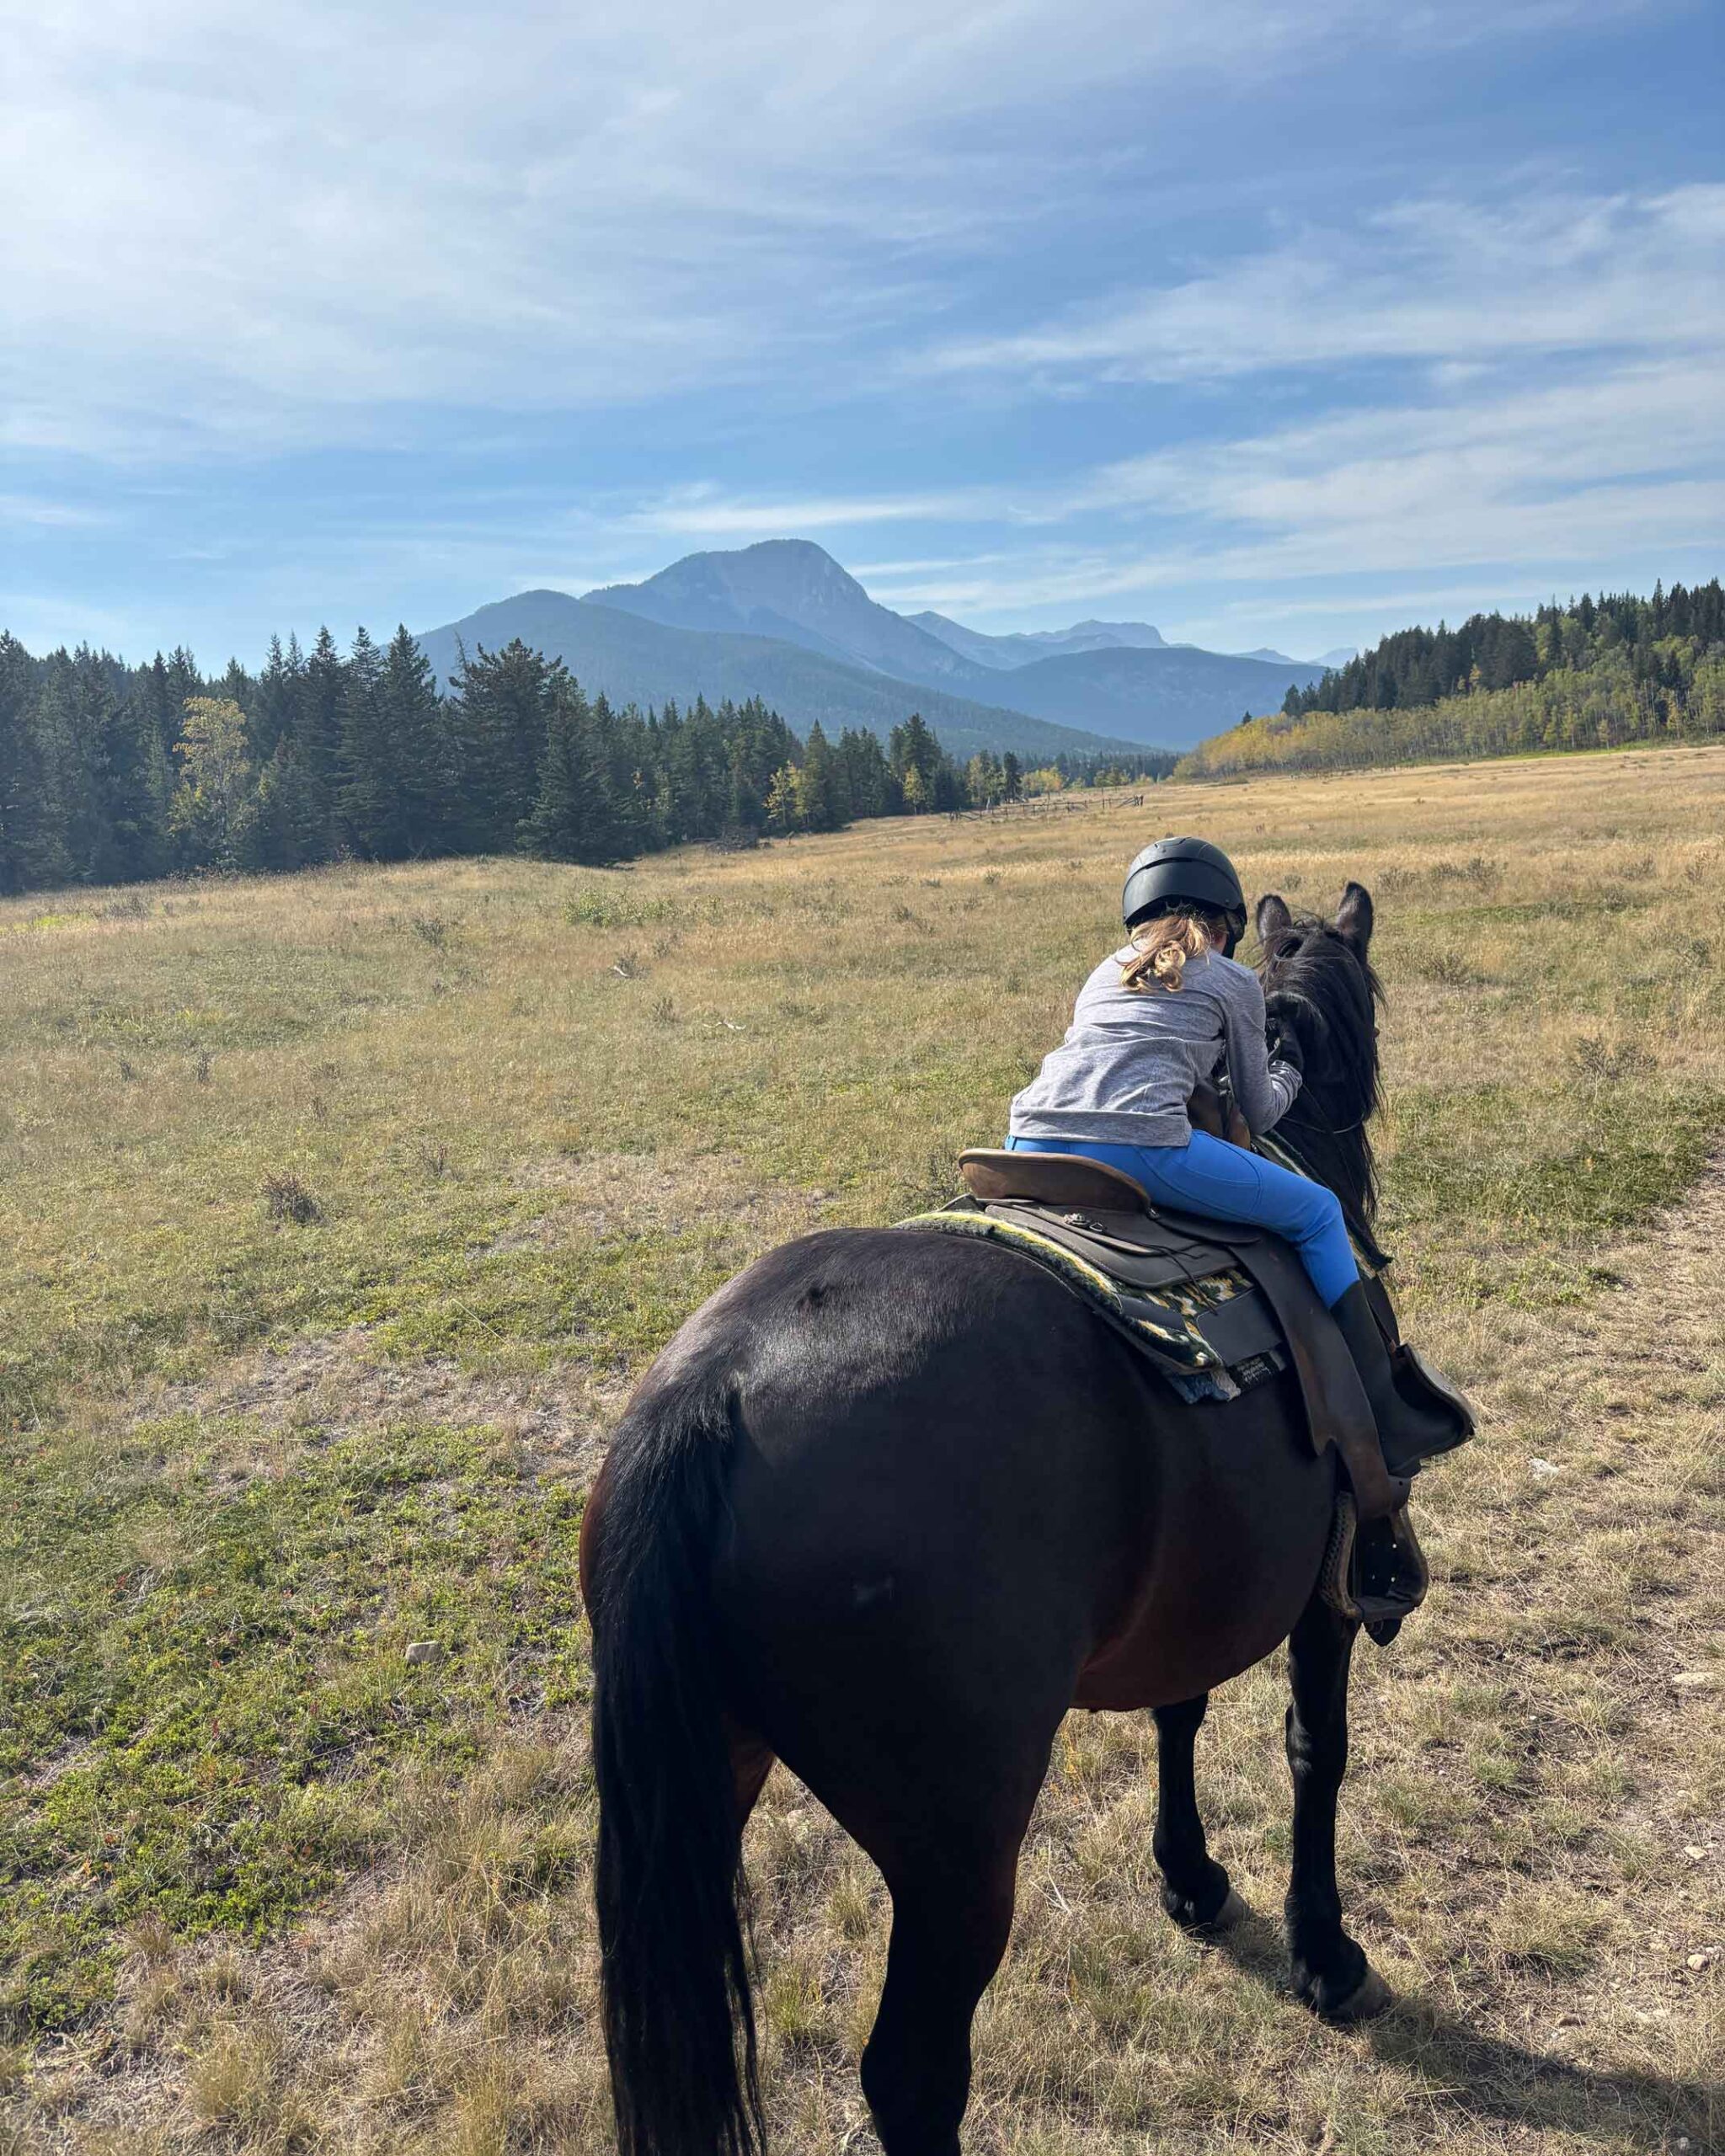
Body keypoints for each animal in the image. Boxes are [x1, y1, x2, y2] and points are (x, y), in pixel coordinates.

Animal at [582, 882, 1391, 2156]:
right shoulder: (1323, 1591)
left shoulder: (1192, 1597)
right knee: (911, 2075)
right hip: (956, 1851)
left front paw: (1190, 1879)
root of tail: (709, 1392)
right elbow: (1317, 1747)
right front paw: (1324, 1948)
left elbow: (1179, 1715)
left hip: (706, 1775)